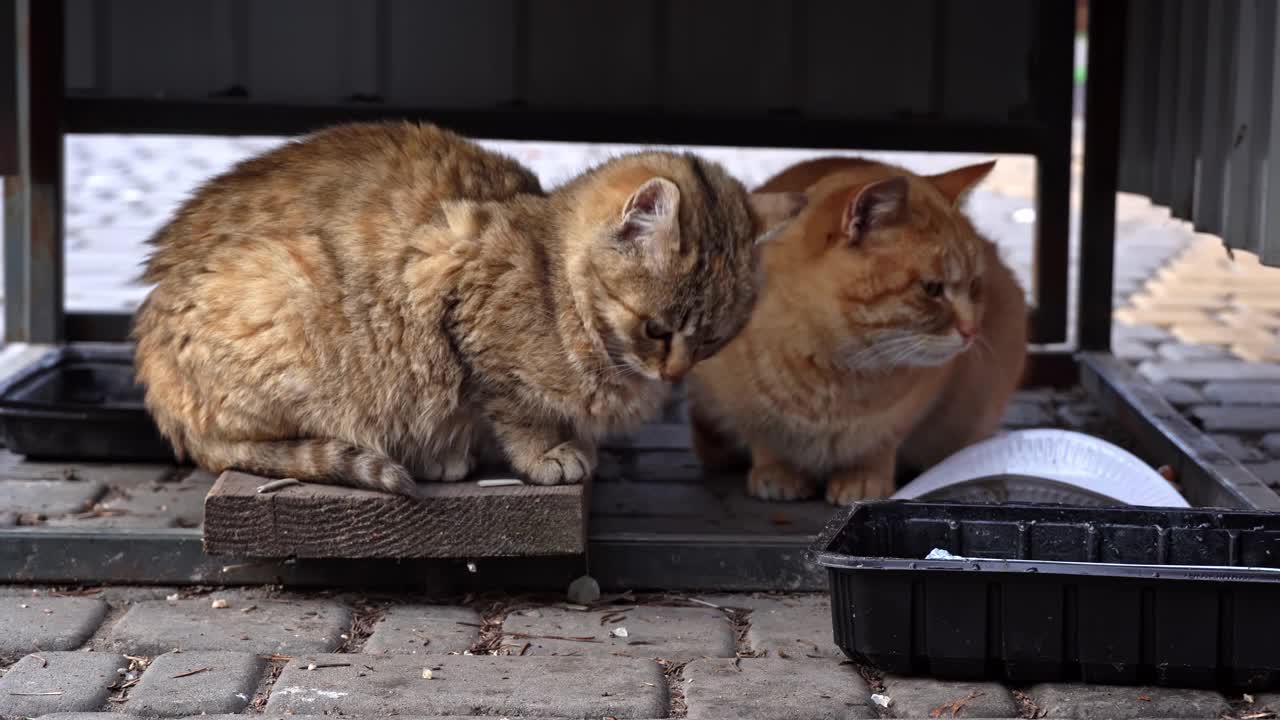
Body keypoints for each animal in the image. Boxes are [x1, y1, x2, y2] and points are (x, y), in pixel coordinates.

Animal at [686, 156, 1024, 504]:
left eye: (975, 285)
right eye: (931, 289)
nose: (972, 330)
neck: (834, 373)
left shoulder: (906, 413)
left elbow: (878, 446)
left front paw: (864, 478)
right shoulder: (740, 404)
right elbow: (764, 437)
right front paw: (776, 472)